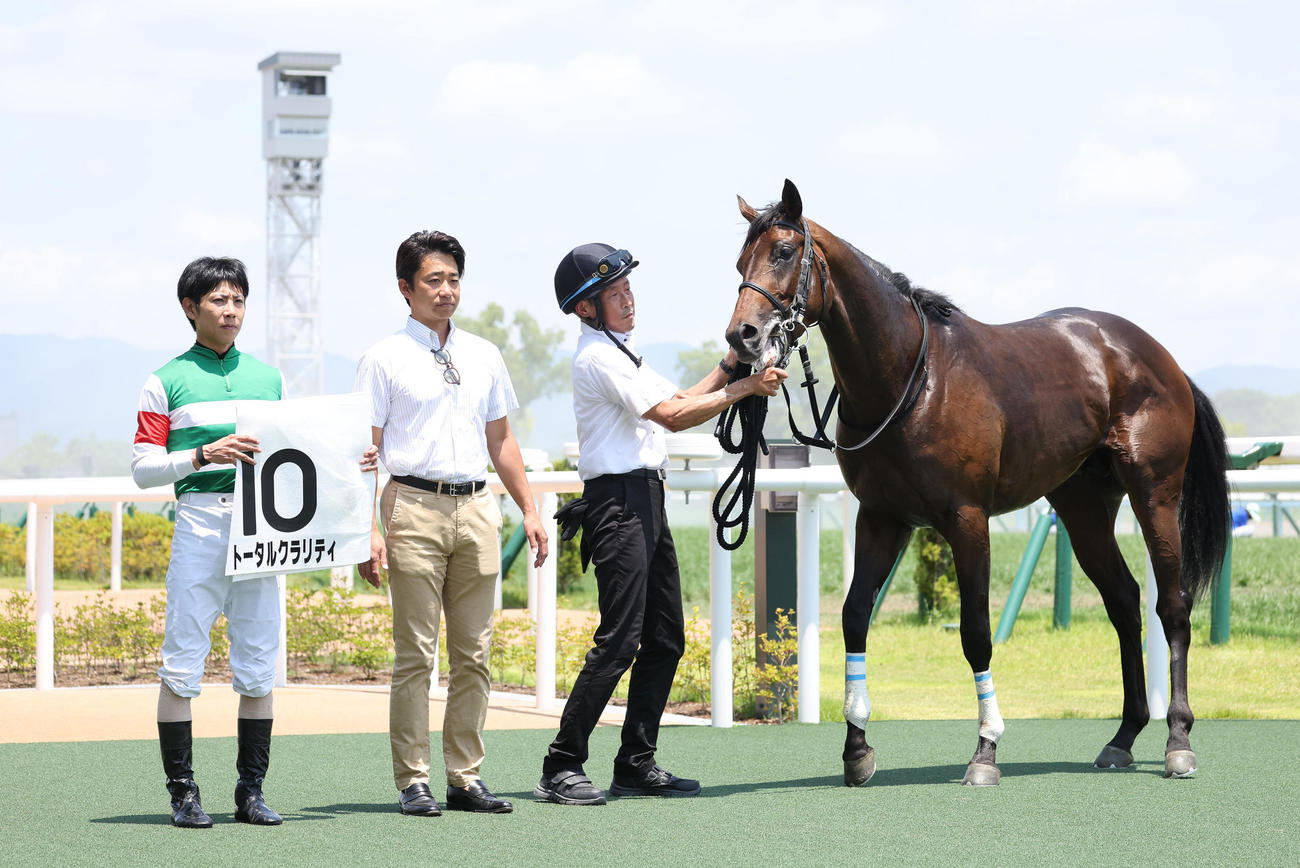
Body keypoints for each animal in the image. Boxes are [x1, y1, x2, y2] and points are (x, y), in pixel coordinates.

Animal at [724, 180, 1230, 787]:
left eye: (782, 252)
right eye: (739, 262)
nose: (742, 335)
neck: (910, 379)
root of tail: (1161, 358)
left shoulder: (967, 520)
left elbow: (975, 633)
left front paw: (986, 749)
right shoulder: (881, 517)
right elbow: (854, 616)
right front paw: (856, 749)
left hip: (1155, 495)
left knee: (1171, 607)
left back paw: (1178, 739)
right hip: (1084, 509)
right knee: (1124, 601)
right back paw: (1123, 736)